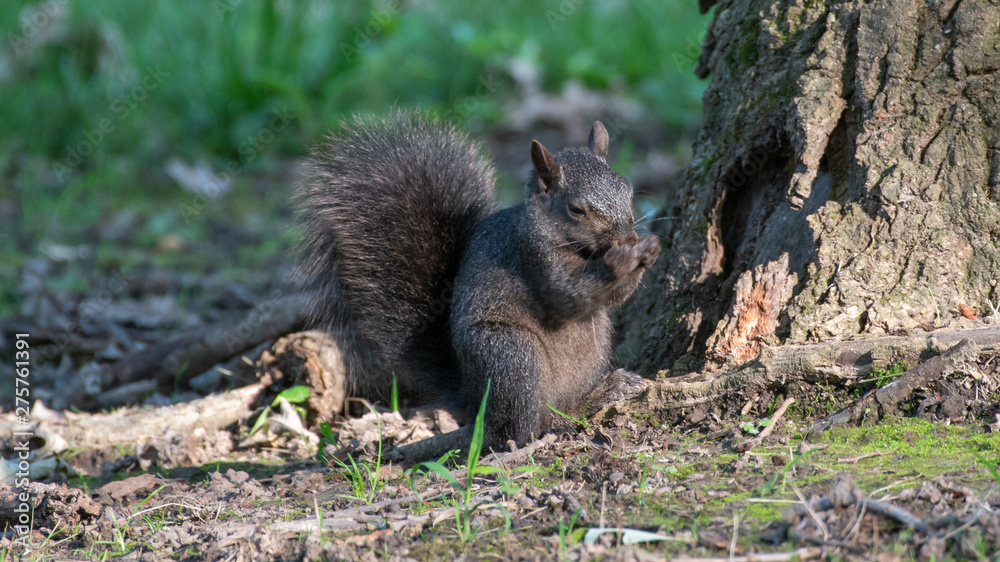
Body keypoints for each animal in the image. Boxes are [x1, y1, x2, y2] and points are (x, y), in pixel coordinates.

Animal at [295, 110, 659, 448]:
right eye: (577, 210)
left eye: (627, 191)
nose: (628, 239)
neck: (580, 250)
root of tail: (472, 398)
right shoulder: (530, 256)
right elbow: (566, 295)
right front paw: (625, 258)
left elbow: (612, 298)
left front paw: (650, 249)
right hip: (511, 356)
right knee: (522, 428)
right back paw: (571, 414)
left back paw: (604, 390)